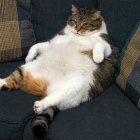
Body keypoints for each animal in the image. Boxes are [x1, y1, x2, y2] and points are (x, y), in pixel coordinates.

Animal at [0, 4, 118, 139]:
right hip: (27, 69)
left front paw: (97, 57)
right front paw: (29, 56)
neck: (77, 36)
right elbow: (36, 46)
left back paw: (40, 105)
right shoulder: (51, 44)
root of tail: (45, 89)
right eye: (75, 21)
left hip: (73, 87)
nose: (77, 30)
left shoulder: (107, 46)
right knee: (12, 80)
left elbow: (99, 45)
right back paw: (1, 81)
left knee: (54, 97)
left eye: (85, 24)